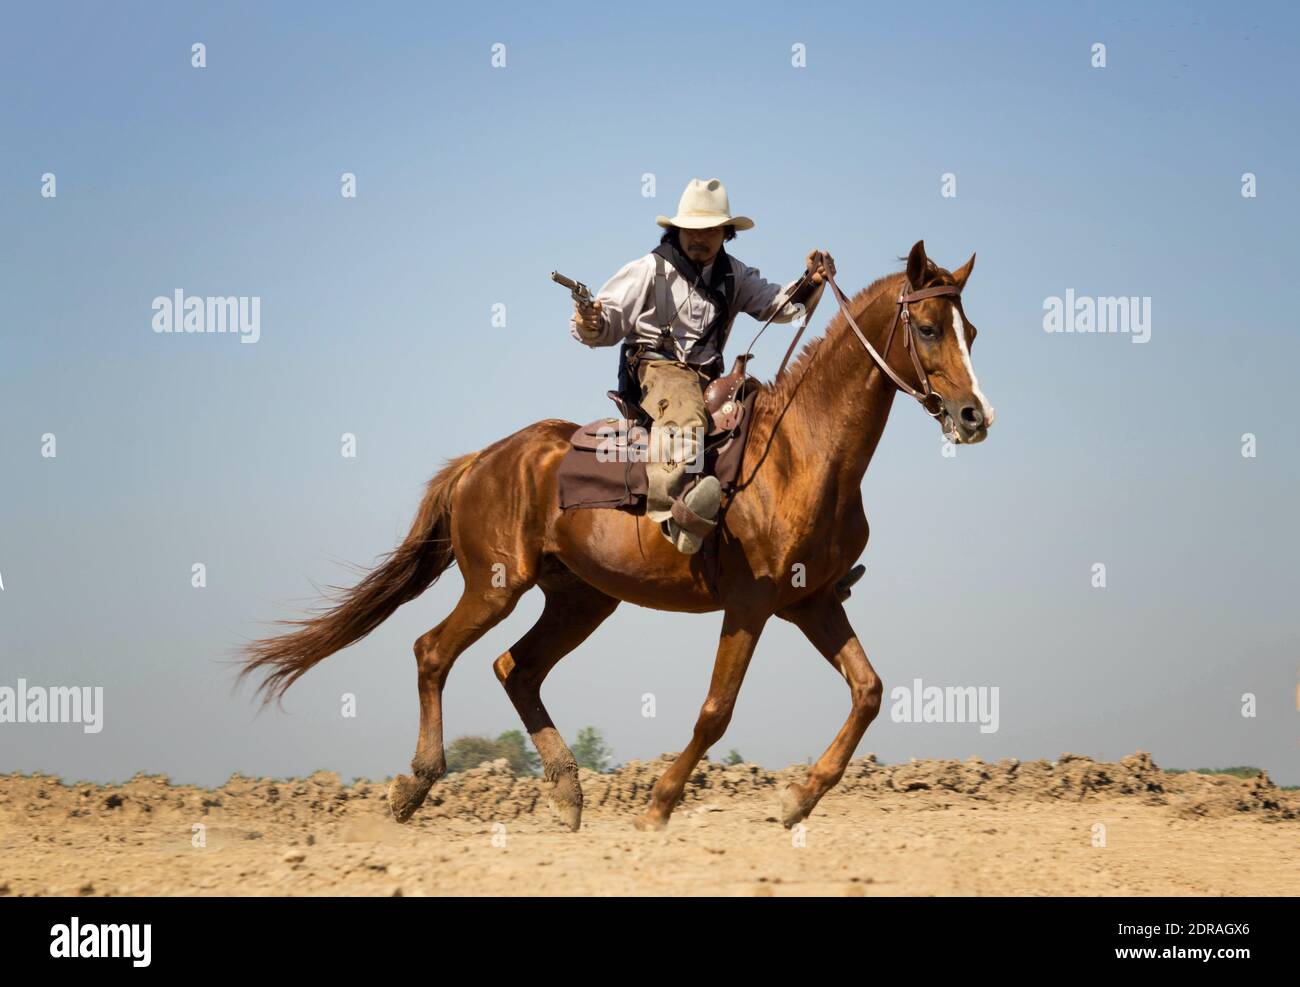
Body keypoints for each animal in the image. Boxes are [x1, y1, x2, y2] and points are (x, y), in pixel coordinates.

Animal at [239, 239, 994, 832]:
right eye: (929, 327)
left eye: (973, 331)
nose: (974, 415)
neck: (799, 454)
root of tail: (481, 461)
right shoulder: (750, 604)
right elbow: (716, 710)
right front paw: (658, 806)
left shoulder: (812, 601)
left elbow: (868, 690)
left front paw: (798, 800)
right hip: (498, 585)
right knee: (433, 651)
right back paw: (418, 783)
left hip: (581, 599)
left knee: (517, 667)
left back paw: (567, 793)